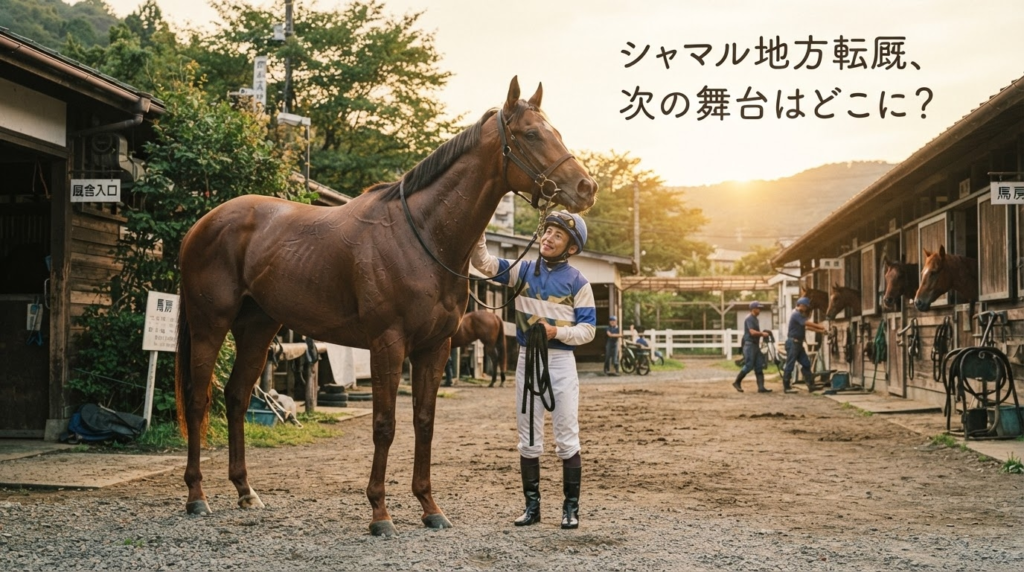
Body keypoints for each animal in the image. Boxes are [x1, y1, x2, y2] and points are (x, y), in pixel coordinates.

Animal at [174, 77, 597, 536]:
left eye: (555, 132)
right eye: (533, 134)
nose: (586, 188)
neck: (422, 237)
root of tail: (202, 224)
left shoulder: (434, 348)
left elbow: (424, 423)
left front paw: (430, 508)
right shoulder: (388, 345)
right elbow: (385, 425)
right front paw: (380, 513)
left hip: (257, 328)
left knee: (235, 397)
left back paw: (245, 491)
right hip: (210, 324)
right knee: (198, 401)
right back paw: (196, 496)